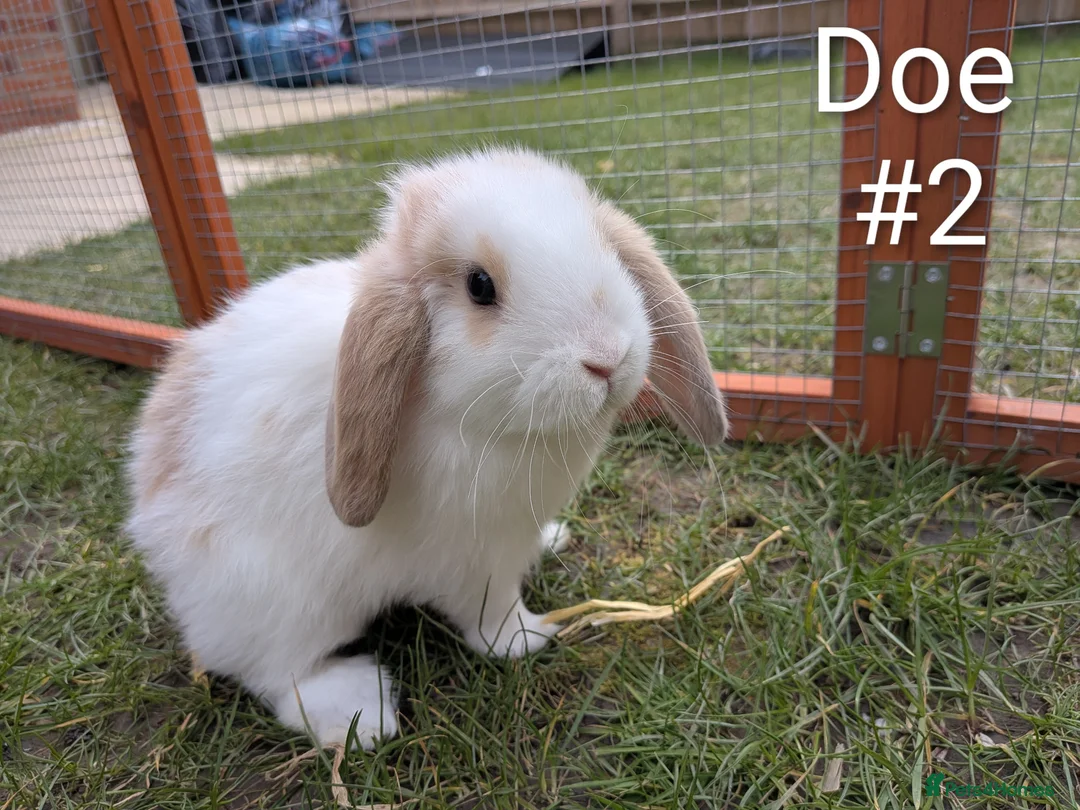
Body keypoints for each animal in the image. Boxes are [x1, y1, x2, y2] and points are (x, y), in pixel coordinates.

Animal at [124, 145, 729, 750]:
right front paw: (529, 638)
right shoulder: (474, 560)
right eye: (479, 286)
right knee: (282, 676)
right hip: (281, 603)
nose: (607, 358)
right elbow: (491, 613)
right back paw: (360, 713)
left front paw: (550, 544)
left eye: (603, 246)